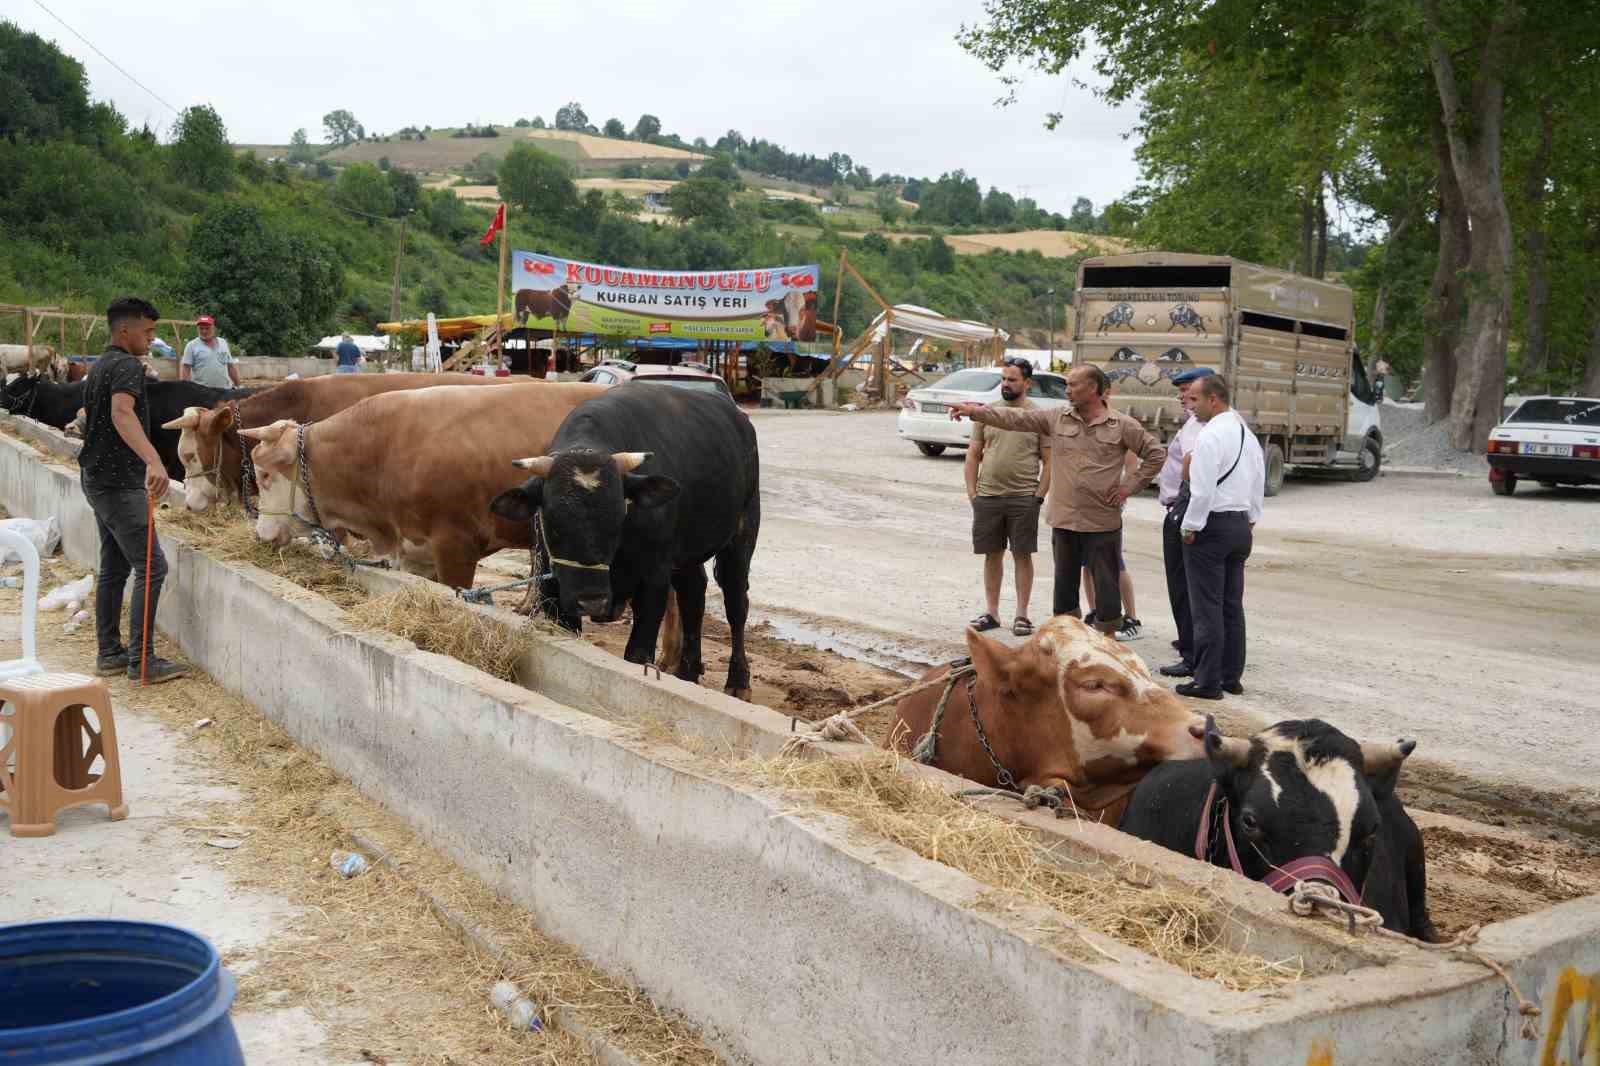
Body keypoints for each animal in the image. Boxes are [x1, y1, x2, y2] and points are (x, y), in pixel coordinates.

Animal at [486, 382, 761, 697]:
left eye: (620, 516)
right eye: (553, 520)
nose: (591, 601)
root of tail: (738, 418)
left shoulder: (654, 579)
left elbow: (638, 653)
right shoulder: (554, 587)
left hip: (742, 535)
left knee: (736, 604)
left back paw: (738, 681)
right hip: (688, 553)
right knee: (693, 594)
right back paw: (687, 672)